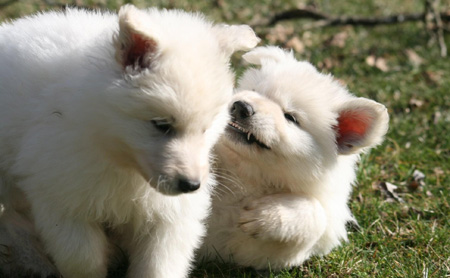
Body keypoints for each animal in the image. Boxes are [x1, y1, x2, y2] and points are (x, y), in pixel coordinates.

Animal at [0, 4, 258, 278]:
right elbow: (83, 259)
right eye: (161, 125)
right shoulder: (63, 198)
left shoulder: (170, 215)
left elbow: (160, 264)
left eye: (206, 128)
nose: (191, 185)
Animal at [201, 46, 390, 270]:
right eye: (255, 90)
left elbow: (316, 214)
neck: (250, 174)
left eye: (290, 117)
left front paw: (265, 216)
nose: (241, 106)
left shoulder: (261, 252)